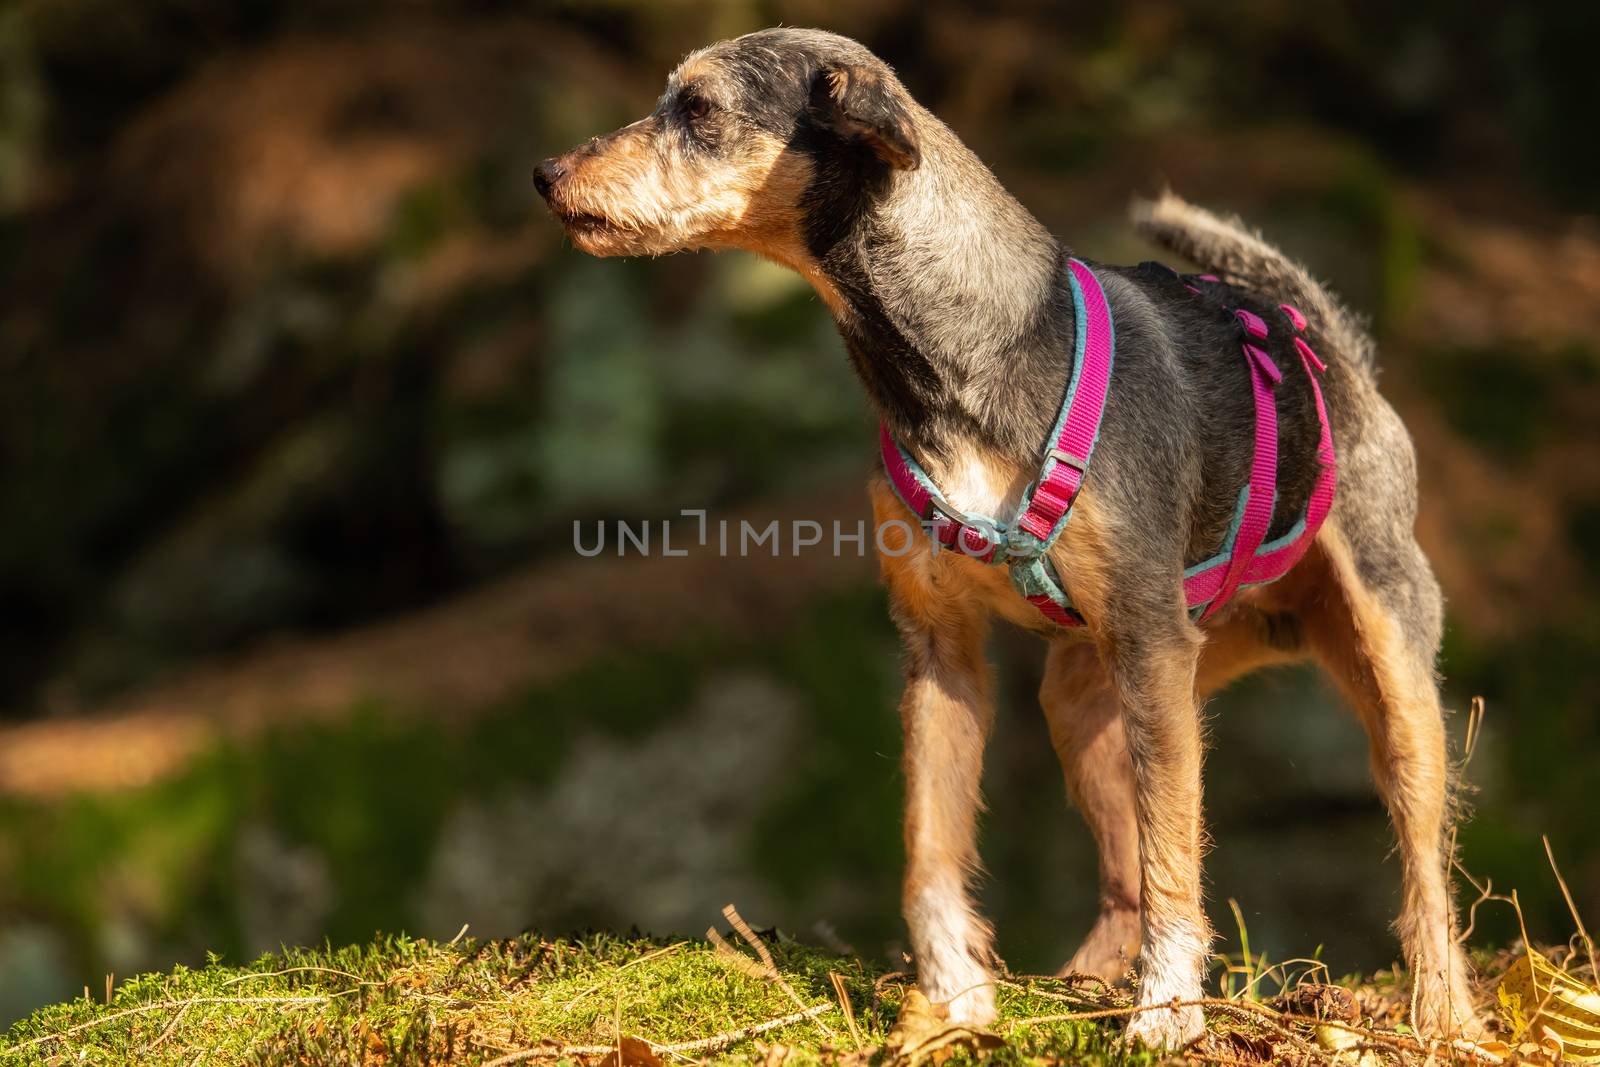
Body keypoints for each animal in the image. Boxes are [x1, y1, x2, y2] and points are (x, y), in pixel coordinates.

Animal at [534, 27, 1472, 1049]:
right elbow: (931, 845)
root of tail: (1332, 346)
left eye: (699, 109)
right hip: (1099, 695)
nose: (547, 173)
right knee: (1122, 870)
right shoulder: (942, 654)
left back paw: (1443, 1013)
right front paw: (952, 1002)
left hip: (1375, 667)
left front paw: (1167, 1013)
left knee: (1418, 861)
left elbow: (1175, 858)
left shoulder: (1149, 639)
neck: (966, 353)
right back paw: (1084, 982)